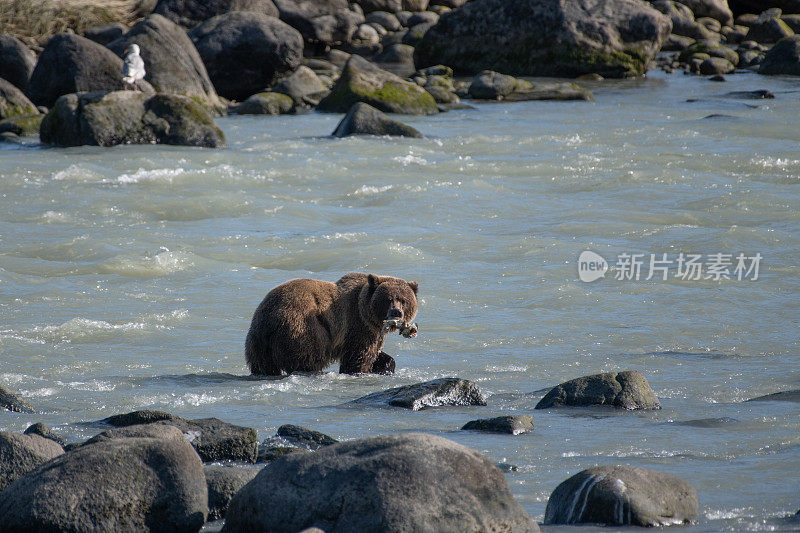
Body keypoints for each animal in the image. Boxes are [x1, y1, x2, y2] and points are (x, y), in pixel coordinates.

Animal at [244, 274, 418, 374]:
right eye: (388, 299)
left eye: (403, 300)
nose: (396, 312)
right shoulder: (357, 323)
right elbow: (359, 355)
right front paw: (361, 370)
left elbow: (377, 354)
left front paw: (385, 365)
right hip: (302, 327)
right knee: (307, 357)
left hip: (258, 340)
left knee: (262, 364)